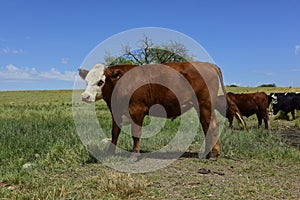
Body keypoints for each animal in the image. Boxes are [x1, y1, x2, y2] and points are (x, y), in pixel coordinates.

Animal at [78, 61, 245, 160]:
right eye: (86, 81)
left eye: (100, 81)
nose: (85, 96)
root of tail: (208, 64)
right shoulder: (116, 112)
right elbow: (115, 133)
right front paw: (110, 153)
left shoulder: (137, 110)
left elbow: (135, 133)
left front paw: (134, 155)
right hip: (201, 106)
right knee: (206, 125)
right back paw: (208, 152)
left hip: (206, 104)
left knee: (212, 125)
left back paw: (213, 153)